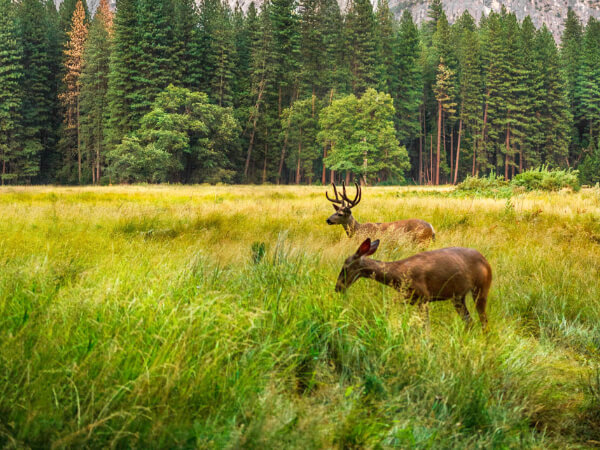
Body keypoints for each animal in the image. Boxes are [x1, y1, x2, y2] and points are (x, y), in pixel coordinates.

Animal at [336, 237, 490, 328]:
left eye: (345, 267)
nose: (337, 287)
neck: (398, 275)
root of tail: (485, 261)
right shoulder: (408, 298)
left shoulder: (424, 297)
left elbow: (425, 327)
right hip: (458, 297)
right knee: (470, 321)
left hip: (481, 288)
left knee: (484, 321)